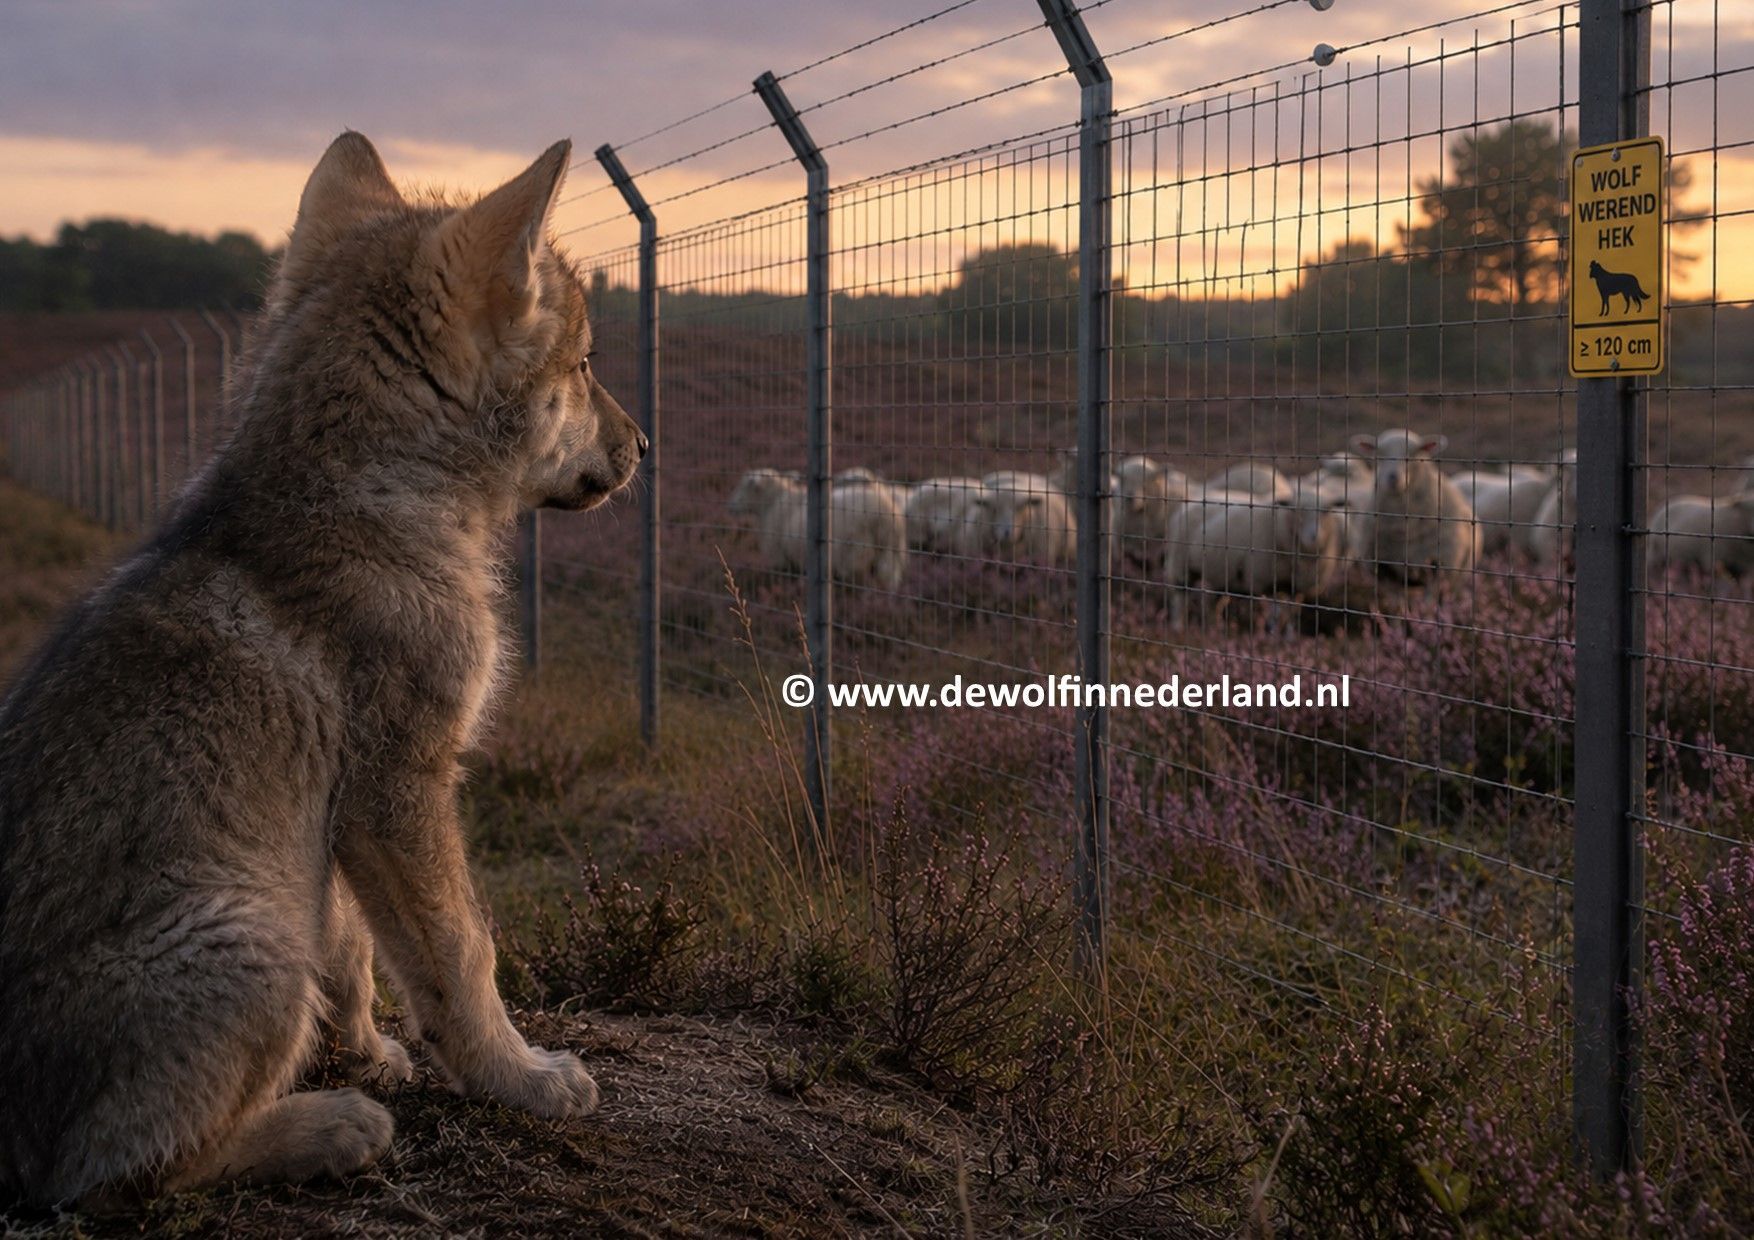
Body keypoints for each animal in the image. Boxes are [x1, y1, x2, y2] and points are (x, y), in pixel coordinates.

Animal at [0, 132, 645, 1209]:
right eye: (587, 363)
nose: (645, 445)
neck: (368, 496)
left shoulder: (340, 819)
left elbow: (354, 952)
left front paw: (371, 1051)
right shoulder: (402, 785)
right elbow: (463, 954)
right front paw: (519, 1079)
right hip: (252, 940)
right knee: (121, 1172)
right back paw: (333, 1126)